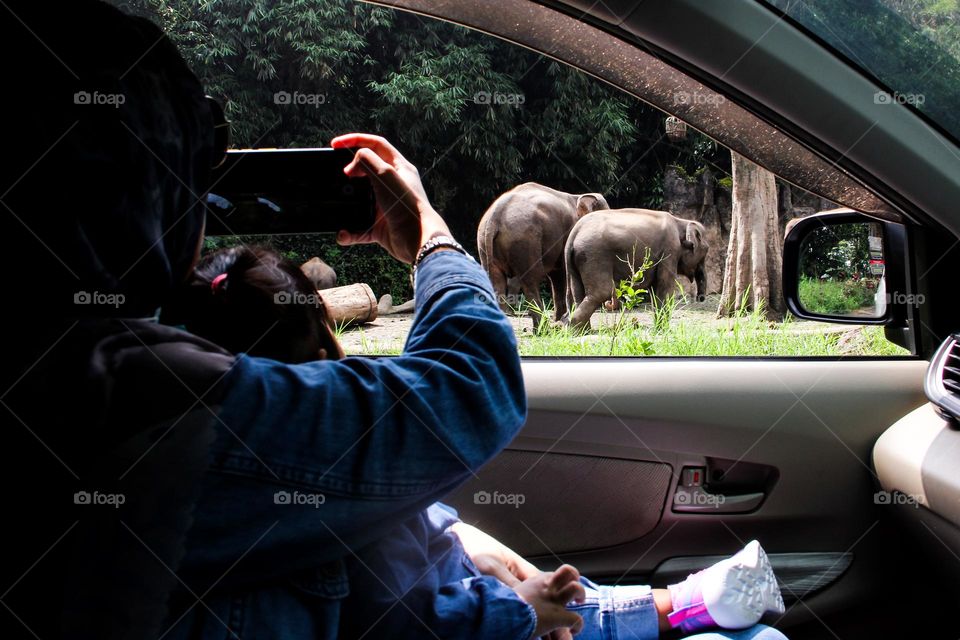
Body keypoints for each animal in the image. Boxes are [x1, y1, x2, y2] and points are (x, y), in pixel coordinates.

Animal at [478, 184, 608, 324]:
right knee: (531, 281)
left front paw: (558, 320)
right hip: (525, 241)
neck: (578, 197)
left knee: (496, 281)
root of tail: (494, 217)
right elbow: (563, 273)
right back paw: (542, 327)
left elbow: (557, 275)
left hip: (485, 244)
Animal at [568, 209, 708, 330]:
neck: (681, 221)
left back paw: (582, 331)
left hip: (579, 261)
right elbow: (664, 287)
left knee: (578, 292)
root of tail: (574, 232)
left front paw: (659, 328)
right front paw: (664, 330)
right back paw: (576, 328)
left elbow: (655, 290)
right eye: (706, 250)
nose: (700, 298)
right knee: (601, 292)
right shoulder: (670, 250)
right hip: (595, 255)